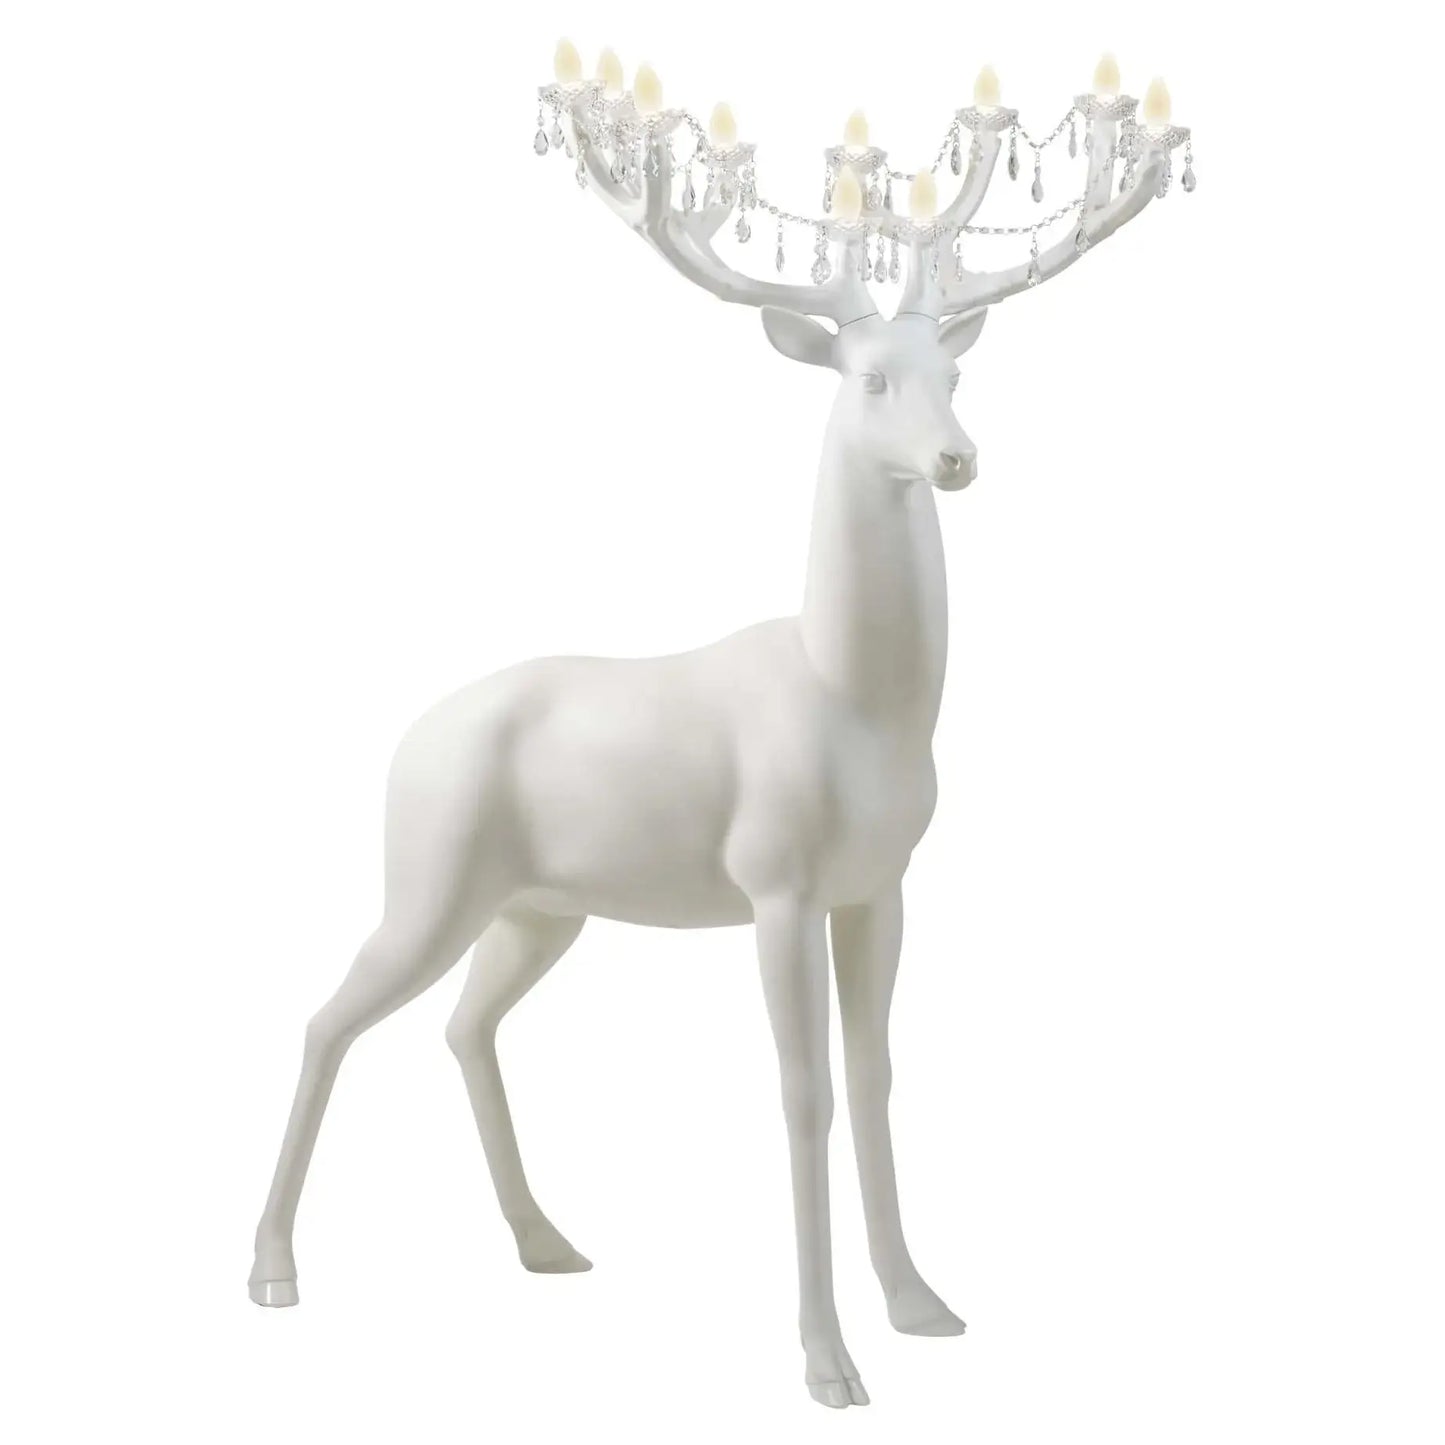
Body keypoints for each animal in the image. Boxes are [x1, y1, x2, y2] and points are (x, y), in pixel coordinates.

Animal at [249, 107, 1167, 1408]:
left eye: (955, 374)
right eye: (869, 378)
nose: (955, 458)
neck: (857, 702)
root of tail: (403, 741)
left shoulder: (879, 885)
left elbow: (875, 1074)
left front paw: (921, 1304)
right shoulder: (774, 882)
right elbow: (802, 1090)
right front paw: (827, 1361)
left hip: (538, 906)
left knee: (464, 1024)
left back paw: (546, 1240)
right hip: (426, 878)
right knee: (327, 1017)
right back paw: (273, 1268)